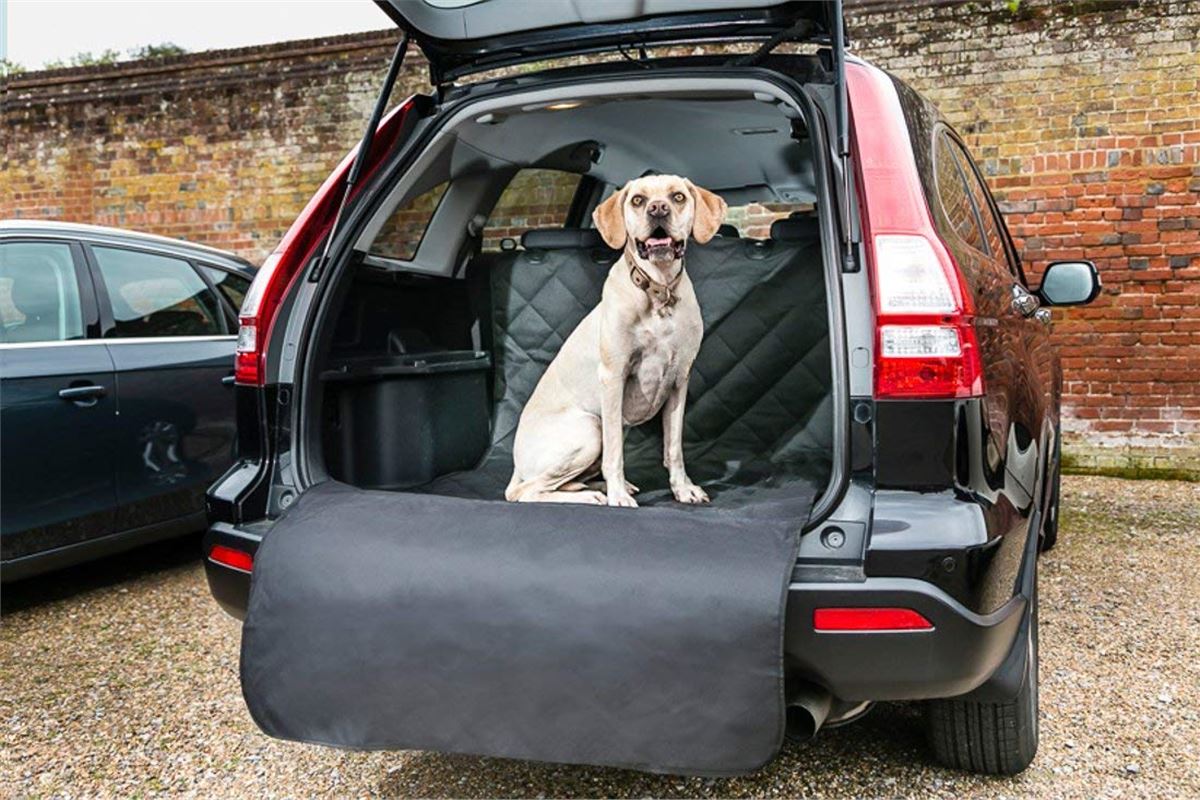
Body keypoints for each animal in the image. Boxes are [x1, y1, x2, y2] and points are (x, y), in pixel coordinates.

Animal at [504, 178, 724, 510]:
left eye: (678, 196)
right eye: (637, 200)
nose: (658, 209)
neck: (659, 292)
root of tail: (516, 465)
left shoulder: (679, 380)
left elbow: (674, 448)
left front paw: (683, 489)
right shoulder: (613, 377)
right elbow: (615, 455)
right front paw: (617, 496)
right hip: (589, 430)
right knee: (525, 491)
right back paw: (594, 495)